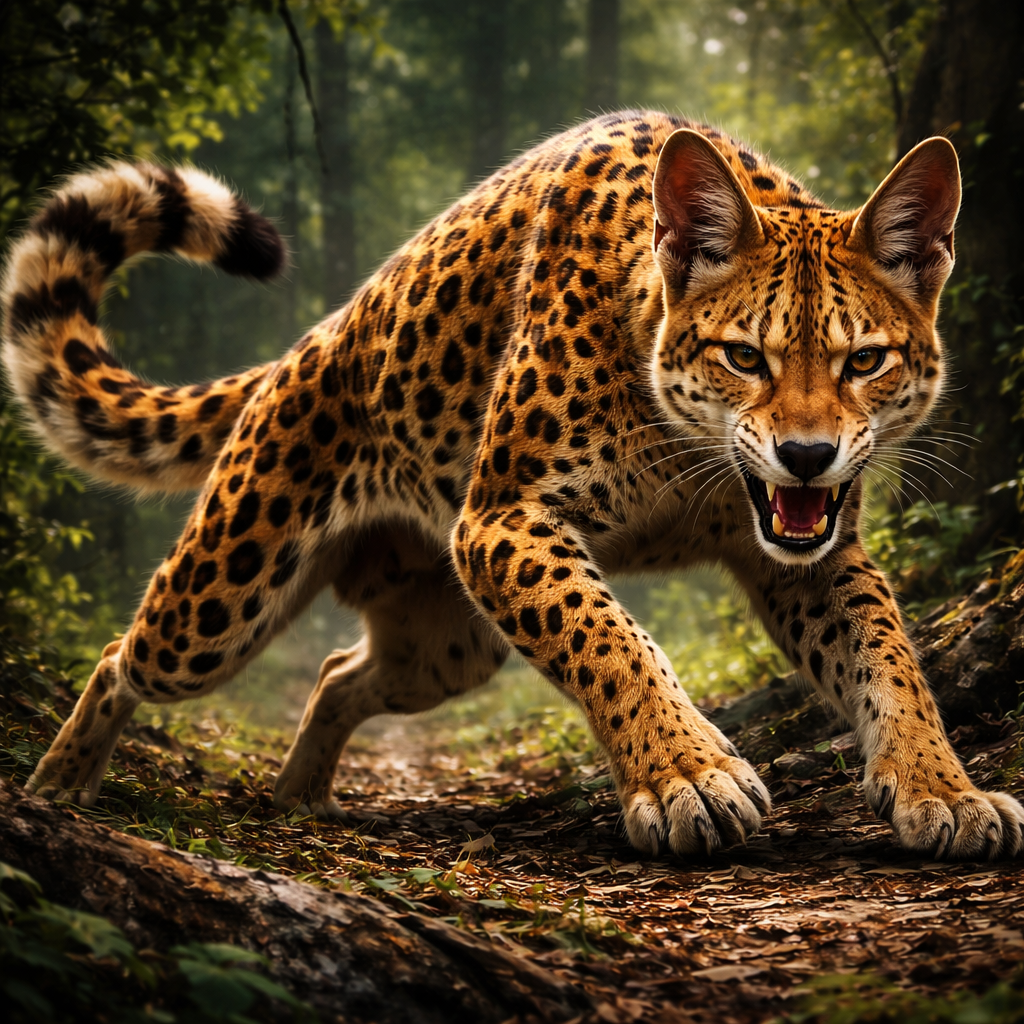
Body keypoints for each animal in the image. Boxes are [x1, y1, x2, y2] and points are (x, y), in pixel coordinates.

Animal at [4, 110, 1023, 861]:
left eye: (864, 361)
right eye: (745, 356)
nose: (807, 455)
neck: (682, 451)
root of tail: (318, 338)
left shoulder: (810, 555)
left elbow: (890, 661)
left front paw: (946, 789)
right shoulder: (501, 522)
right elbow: (609, 639)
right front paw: (689, 778)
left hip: (446, 643)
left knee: (339, 672)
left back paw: (299, 799)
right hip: (223, 600)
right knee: (124, 653)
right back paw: (58, 787)